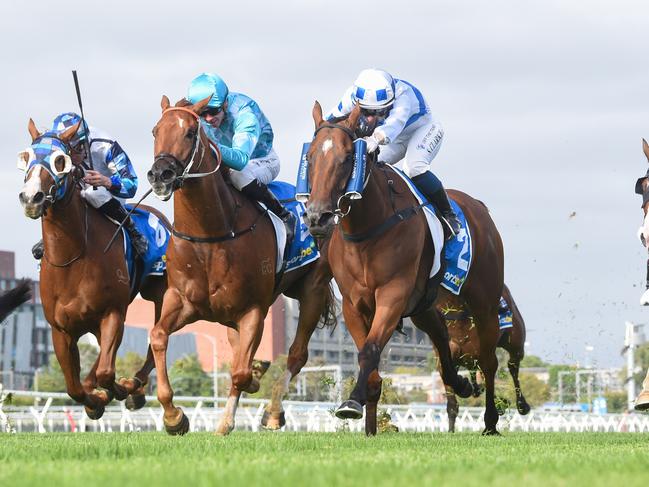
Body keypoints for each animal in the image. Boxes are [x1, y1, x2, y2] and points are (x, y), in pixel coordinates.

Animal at [19, 119, 168, 420]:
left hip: (159, 292)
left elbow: (106, 372)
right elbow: (74, 388)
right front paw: (94, 400)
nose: (31, 198)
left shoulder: (112, 312)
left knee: (154, 339)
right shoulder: (60, 329)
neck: (73, 259)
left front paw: (119, 390)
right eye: (26, 157)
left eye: (60, 160)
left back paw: (135, 387)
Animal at [147, 97, 334, 436]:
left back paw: (273, 412)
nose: (160, 174)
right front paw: (173, 416)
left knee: (296, 354)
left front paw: (228, 417)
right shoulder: (181, 300)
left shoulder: (253, 310)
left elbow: (240, 372)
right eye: (156, 131)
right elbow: (157, 336)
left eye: (190, 132)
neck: (210, 235)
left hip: (312, 290)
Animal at [304, 102, 506, 434]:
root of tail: (479, 207)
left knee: (489, 362)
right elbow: (370, 364)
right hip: (423, 305)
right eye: (310, 158)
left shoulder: (393, 294)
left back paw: (490, 422)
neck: (368, 228)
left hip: (484, 302)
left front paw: (351, 402)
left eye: (347, 158)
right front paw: (369, 426)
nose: (317, 217)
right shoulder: (354, 304)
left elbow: (370, 350)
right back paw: (460, 384)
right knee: (440, 336)